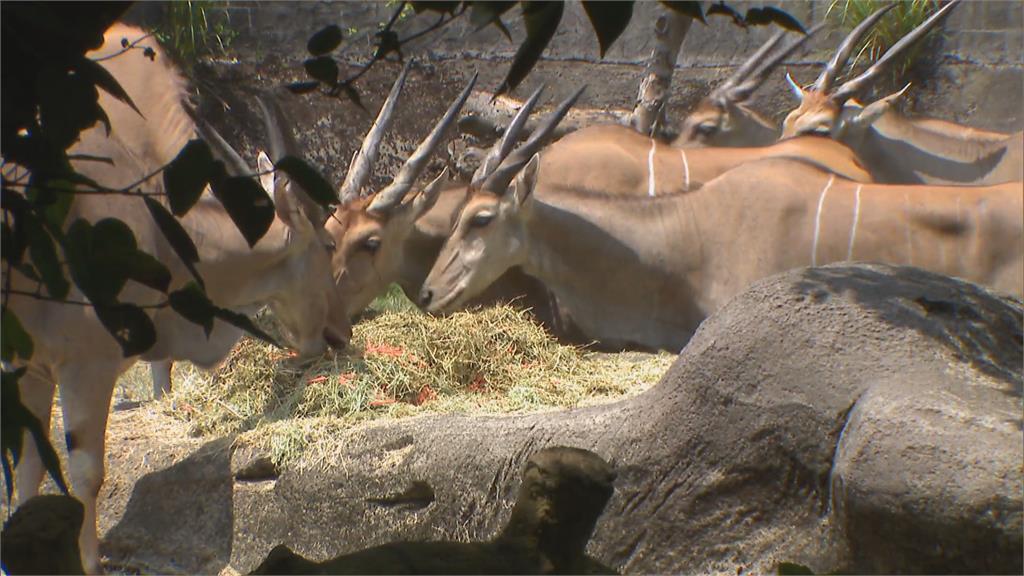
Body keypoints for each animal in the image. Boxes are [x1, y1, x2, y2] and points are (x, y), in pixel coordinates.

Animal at [8, 23, 352, 569]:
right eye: (327, 245)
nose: (340, 333)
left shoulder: (32, 369)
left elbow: (28, 472)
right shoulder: (86, 366)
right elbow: (86, 475)